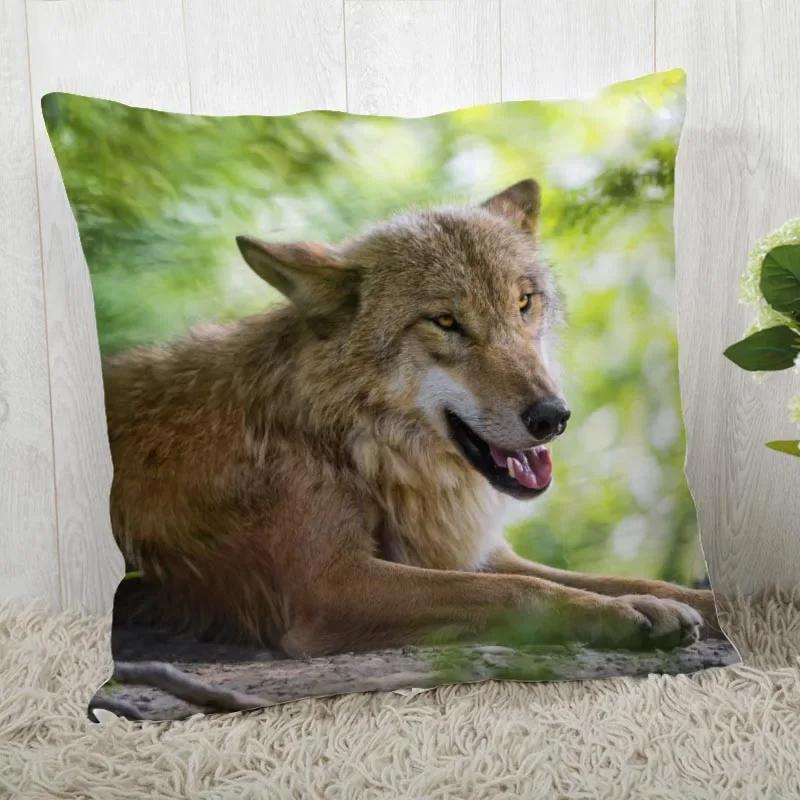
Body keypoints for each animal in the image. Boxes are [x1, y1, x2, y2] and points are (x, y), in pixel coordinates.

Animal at [106, 179, 718, 657]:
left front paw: (698, 602)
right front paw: (629, 614)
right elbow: (519, 592)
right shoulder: (330, 585)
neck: (354, 445)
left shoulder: (474, 553)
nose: (554, 416)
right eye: (445, 321)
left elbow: (619, 579)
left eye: (524, 303)